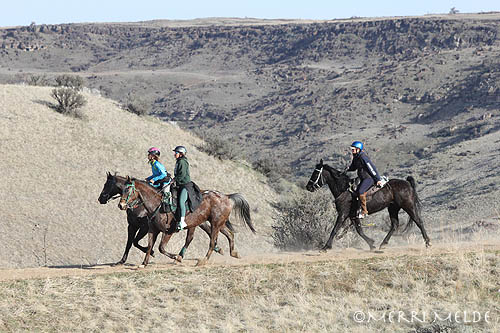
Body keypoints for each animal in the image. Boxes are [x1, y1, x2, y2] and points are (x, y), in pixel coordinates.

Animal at [97, 171, 229, 264]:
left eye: (107, 184)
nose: (100, 199)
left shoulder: (145, 228)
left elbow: (136, 242)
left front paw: (152, 253)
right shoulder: (133, 226)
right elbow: (130, 242)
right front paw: (122, 260)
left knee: (206, 233)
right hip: (199, 222)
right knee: (211, 232)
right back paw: (219, 249)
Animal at [117, 175, 254, 266]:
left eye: (128, 190)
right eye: (121, 189)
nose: (121, 205)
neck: (157, 204)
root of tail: (227, 197)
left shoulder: (168, 231)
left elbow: (161, 248)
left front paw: (177, 257)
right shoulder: (152, 230)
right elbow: (150, 245)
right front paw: (144, 263)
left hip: (215, 223)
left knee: (211, 241)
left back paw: (203, 260)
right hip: (218, 223)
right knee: (229, 234)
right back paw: (234, 253)